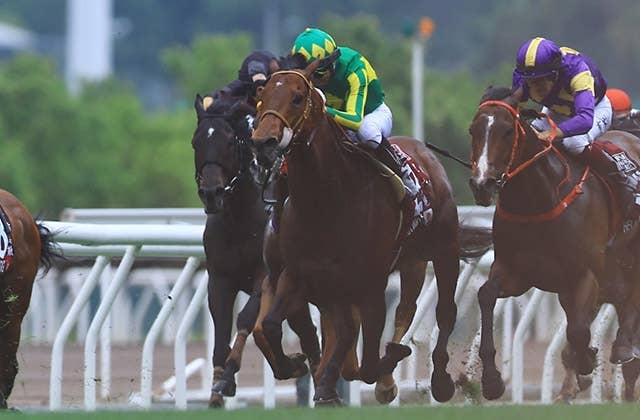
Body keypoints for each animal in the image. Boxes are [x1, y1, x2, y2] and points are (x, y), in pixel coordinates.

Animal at [192, 94, 320, 407]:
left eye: (229, 142)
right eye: (195, 142)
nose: (211, 193)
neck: (240, 219)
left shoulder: (264, 276)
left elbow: (246, 319)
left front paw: (227, 376)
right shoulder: (219, 279)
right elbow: (222, 331)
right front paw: (215, 394)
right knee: (303, 331)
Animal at [250, 54, 492, 405]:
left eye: (297, 97)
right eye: (262, 96)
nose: (263, 142)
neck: (325, 200)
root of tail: (426, 154)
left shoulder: (367, 283)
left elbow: (366, 356)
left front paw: (383, 368)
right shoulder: (297, 274)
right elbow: (270, 325)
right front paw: (300, 367)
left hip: (442, 251)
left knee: (444, 311)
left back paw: (440, 381)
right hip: (408, 261)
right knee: (398, 311)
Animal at [468, 86, 640, 401]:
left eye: (507, 131)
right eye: (472, 130)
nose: (482, 184)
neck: (538, 200)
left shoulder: (586, 274)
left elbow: (579, 331)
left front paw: (586, 361)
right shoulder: (516, 272)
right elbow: (486, 295)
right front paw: (491, 380)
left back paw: (623, 347)